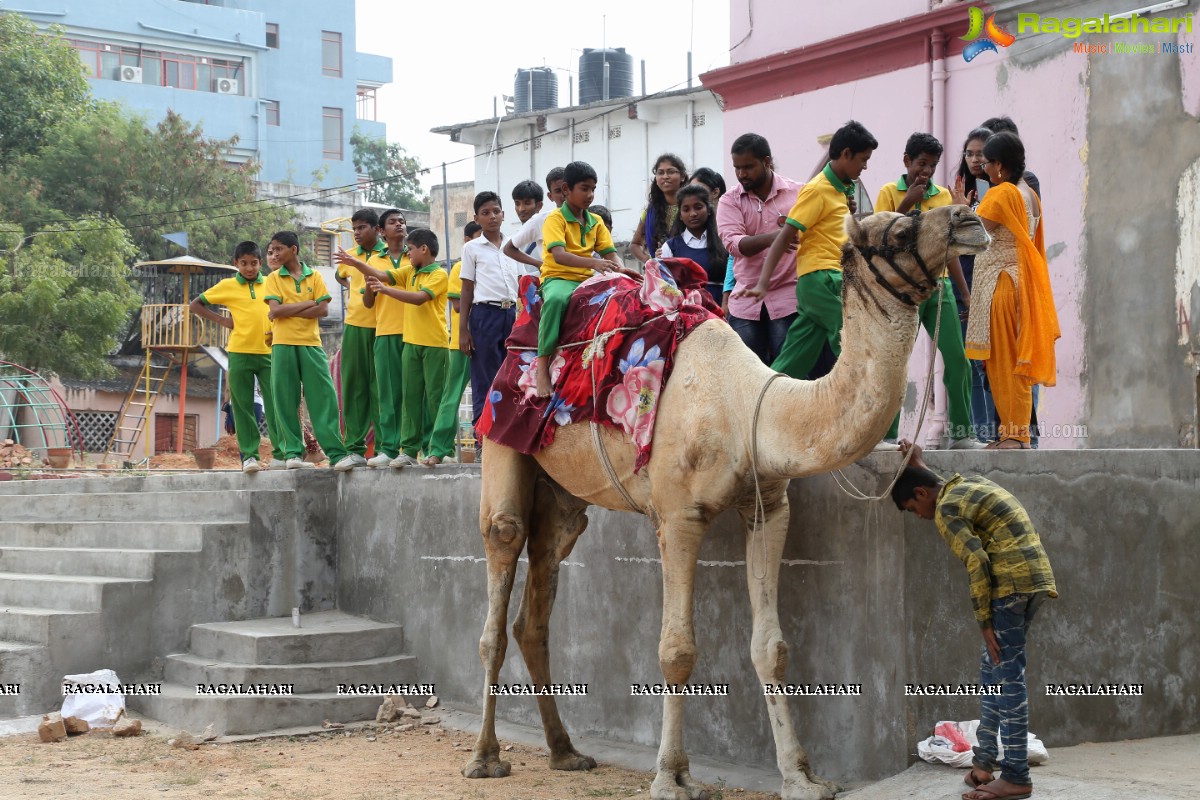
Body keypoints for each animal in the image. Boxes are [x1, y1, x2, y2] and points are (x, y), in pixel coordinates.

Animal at [463, 203, 988, 796]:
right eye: (899, 230)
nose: (968, 218)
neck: (748, 409)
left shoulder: (769, 507)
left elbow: (772, 649)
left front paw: (801, 777)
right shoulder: (677, 516)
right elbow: (676, 651)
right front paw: (672, 777)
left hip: (562, 500)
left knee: (538, 599)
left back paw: (565, 751)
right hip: (500, 437)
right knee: (501, 563)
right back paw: (485, 757)